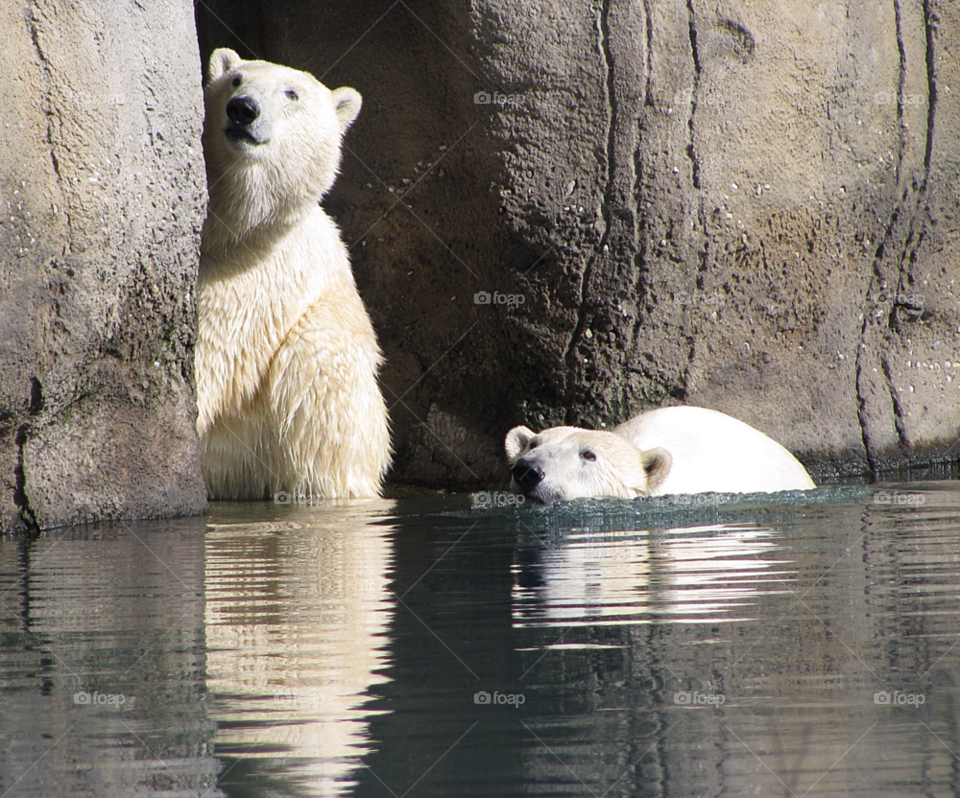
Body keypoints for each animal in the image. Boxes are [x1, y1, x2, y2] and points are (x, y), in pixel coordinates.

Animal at [195, 48, 390, 500]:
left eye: (291, 93)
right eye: (235, 79)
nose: (243, 109)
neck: (236, 232)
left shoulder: (250, 285)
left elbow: (211, 356)